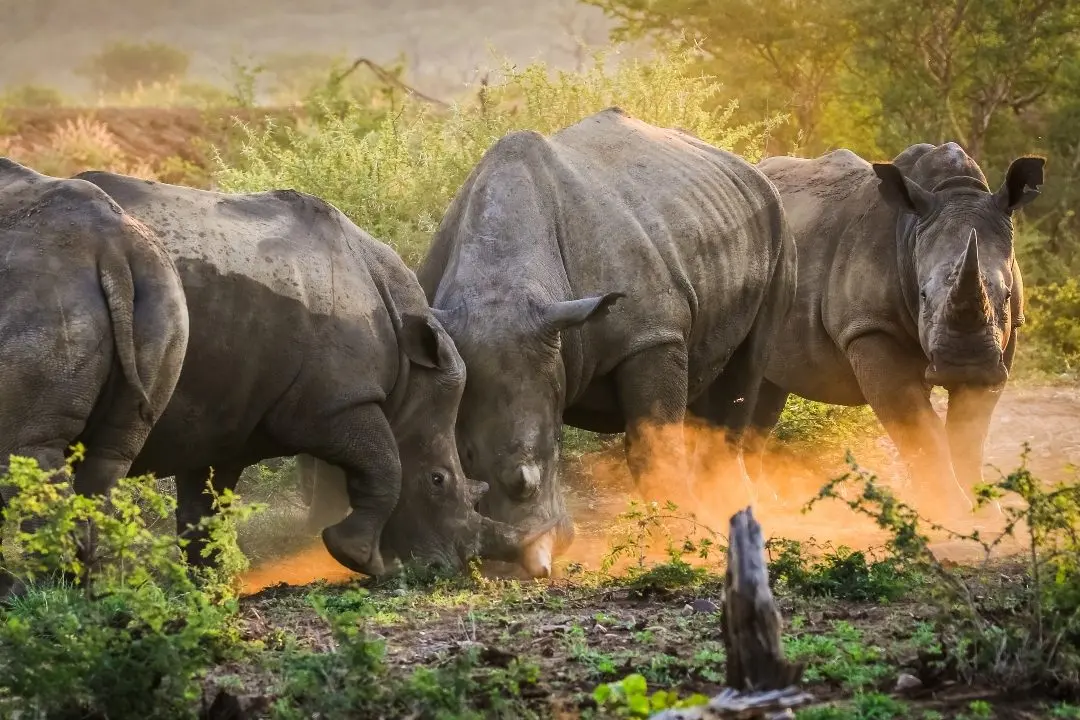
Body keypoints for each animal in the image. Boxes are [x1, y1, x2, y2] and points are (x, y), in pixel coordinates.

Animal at [0, 159, 189, 595]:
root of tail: (114, 249)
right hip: (166, 301)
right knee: (112, 456)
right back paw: (93, 587)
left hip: (41, 302)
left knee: (23, 449)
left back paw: (31, 592)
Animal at [73, 171, 528, 577]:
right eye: (438, 480)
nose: (443, 569)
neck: (408, 373)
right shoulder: (333, 403)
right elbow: (387, 464)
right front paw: (357, 556)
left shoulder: (220, 419)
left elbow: (205, 506)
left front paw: (210, 585)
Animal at [380, 106, 795, 578]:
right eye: (464, 455)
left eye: (555, 448)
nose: (530, 562)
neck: (503, 282)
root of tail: (744, 165)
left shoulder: (652, 336)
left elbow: (654, 443)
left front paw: (676, 542)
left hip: (778, 226)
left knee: (747, 372)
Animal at [749, 143, 1044, 518]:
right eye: (923, 295)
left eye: (1006, 297)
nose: (965, 364)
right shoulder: (870, 327)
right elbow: (919, 428)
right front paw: (949, 513)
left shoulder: (1007, 337)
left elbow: (969, 431)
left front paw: (985, 515)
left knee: (766, 395)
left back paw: (761, 502)